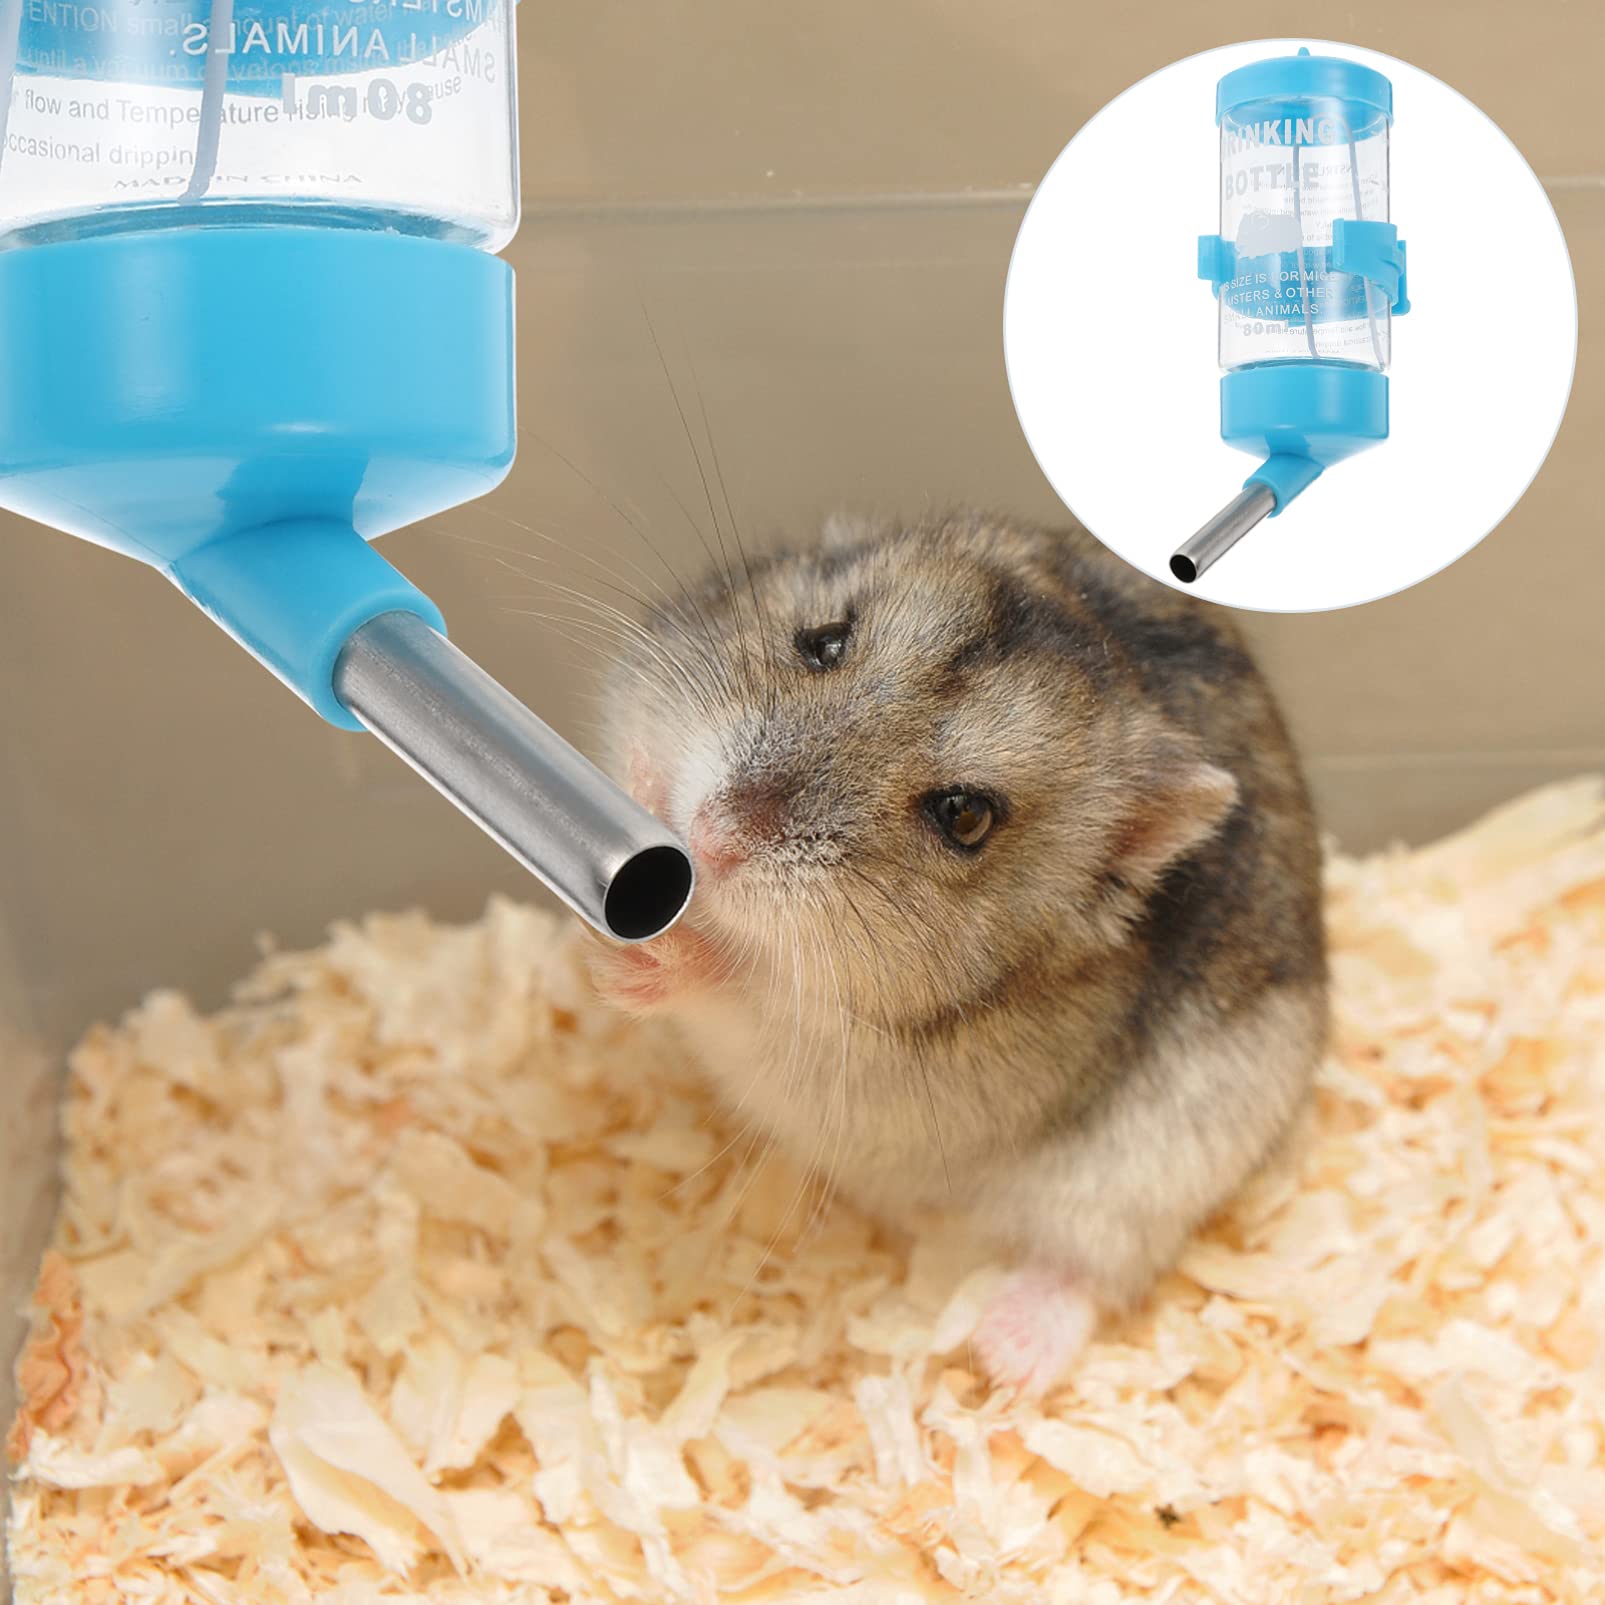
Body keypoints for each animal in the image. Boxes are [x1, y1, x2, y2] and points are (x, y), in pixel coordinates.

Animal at [587, 510, 1326, 1393]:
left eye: (964, 815)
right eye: (823, 641)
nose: (709, 838)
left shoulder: (849, 1055)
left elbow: (743, 989)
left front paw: (645, 961)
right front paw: (639, 790)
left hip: (1150, 1179)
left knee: (1091, 1268)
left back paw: (1004, 1357)